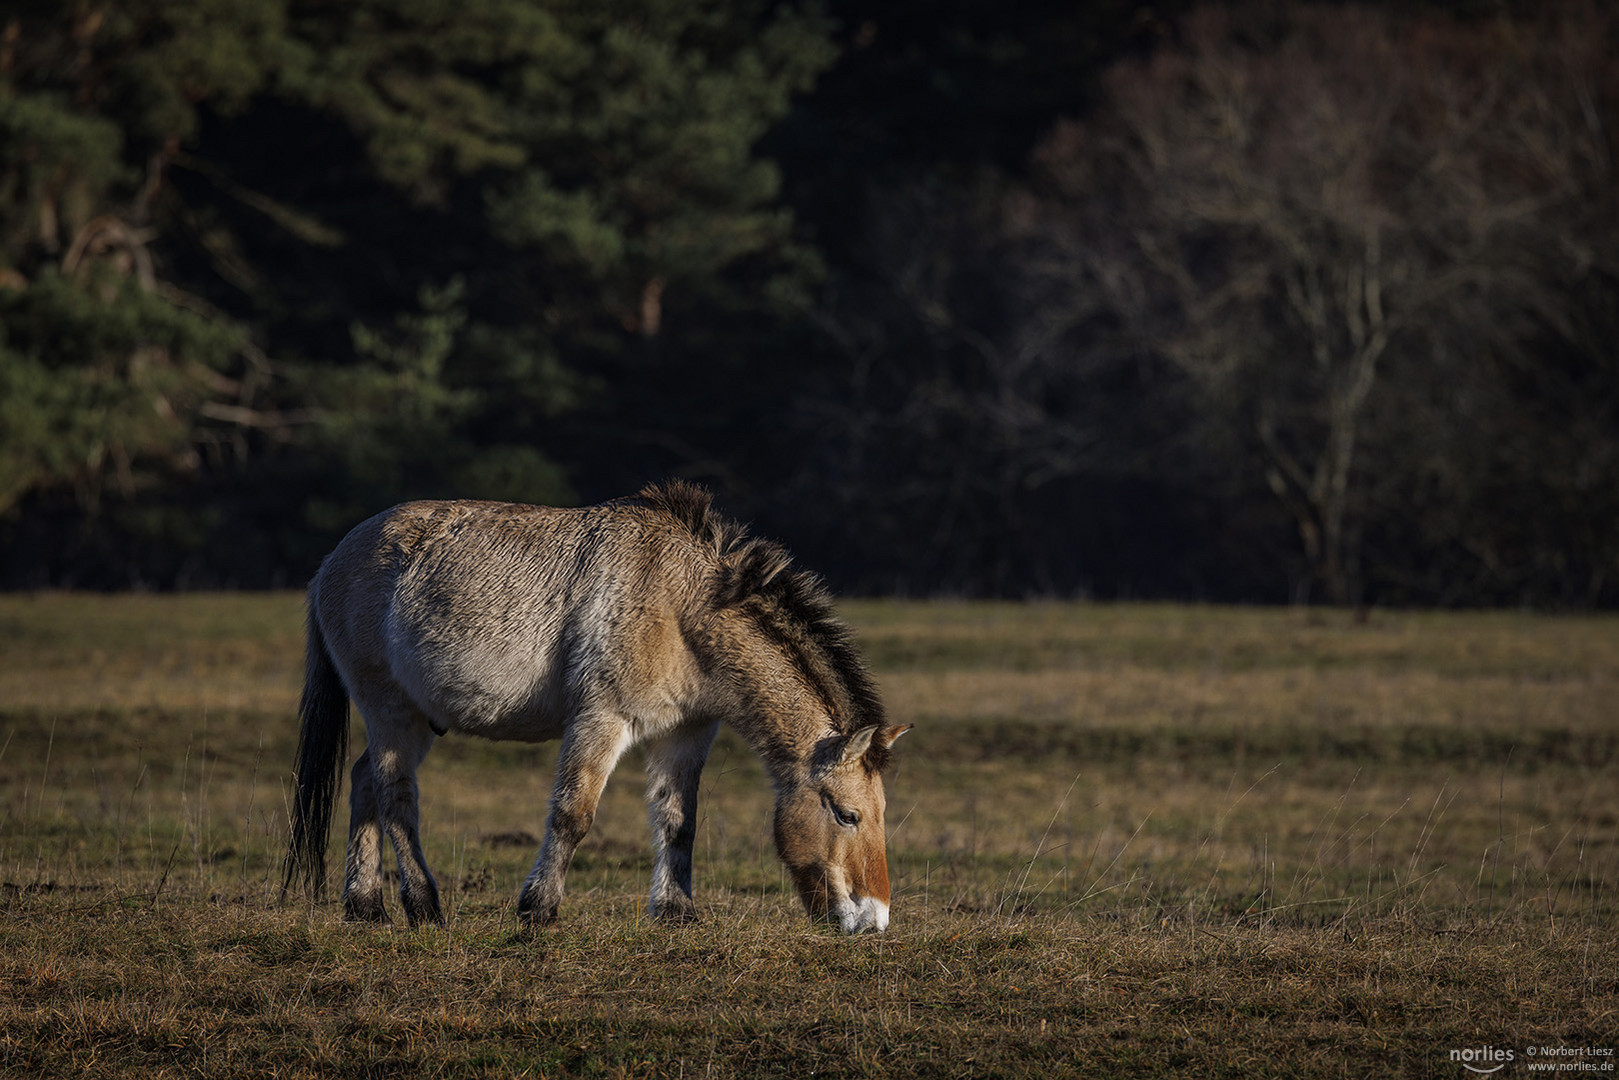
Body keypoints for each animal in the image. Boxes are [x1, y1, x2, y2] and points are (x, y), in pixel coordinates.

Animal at [280, 482, 913, 932]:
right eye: (847, 815)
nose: (874, 920)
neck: (681, 605)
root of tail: (332, 562)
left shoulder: (686, 732)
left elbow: (679, 819)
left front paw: (676, 912)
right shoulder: (601, 720)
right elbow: (573, 814)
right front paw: (538, 909)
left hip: (409, 720)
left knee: (364, 781)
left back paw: (364, 906)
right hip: (390, 711)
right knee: (395, 795)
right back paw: (424, 906)